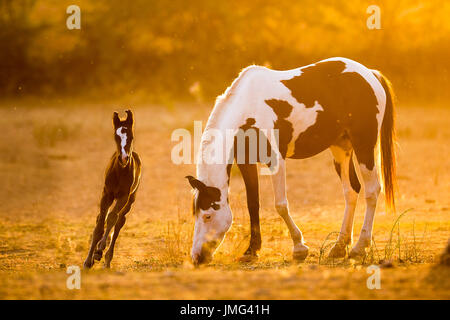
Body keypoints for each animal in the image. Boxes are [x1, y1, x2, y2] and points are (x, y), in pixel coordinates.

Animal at [83, 109, 142, 268]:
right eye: (116, 137)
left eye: (131, 137)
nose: (124, 158)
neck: (120, 172)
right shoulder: (107, 194)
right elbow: (99, 225)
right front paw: (88, 260)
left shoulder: (123, 197)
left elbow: (111, 219)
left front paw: (100, 249)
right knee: (102, 218)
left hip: (130, 201)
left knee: (119, 222)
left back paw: (107, 258)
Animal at [185, 57, 396, 264]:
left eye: (208, 216)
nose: (197, 257)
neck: (247, 109)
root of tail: (370, 74)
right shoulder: (246, 162)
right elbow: (253, 204)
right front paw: (252, 251)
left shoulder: (276, 159)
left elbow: (280, 205)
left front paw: (299, 247)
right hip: (341, 149)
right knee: (351, 191)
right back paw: (339, 247)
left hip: (364, 146)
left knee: (372, 191)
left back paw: (359, 248)